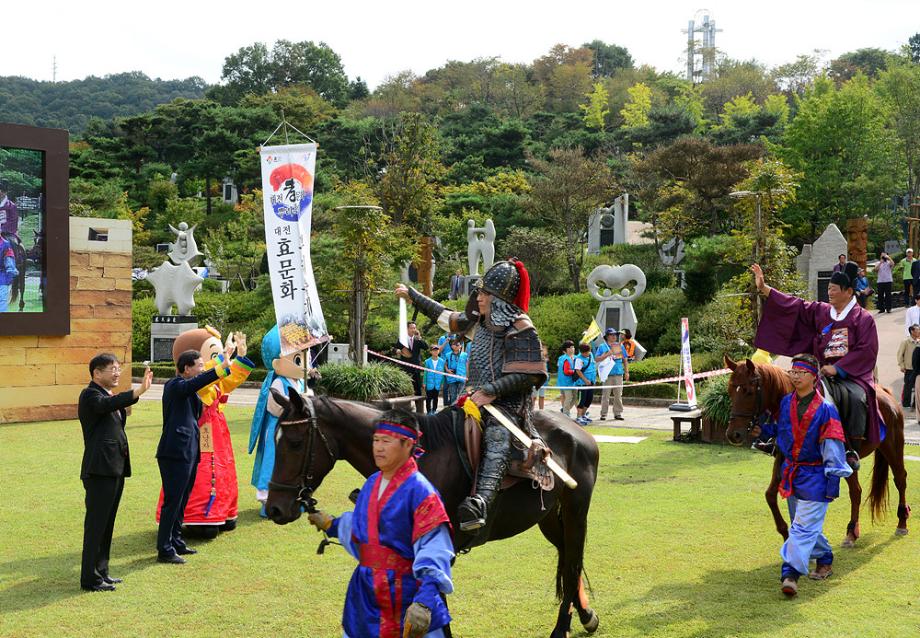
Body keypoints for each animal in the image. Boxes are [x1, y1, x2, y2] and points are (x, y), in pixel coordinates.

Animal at [262, 390, 600, 638]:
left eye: (295, 443)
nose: (275, 508)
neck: (420, 457)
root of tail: (577, 432)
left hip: (575, 511)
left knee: (572, 566)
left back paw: (561, 628)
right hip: (548, 518)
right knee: (568, 559)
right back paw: (585, 616)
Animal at [724, 358, 912, 548]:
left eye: (749, 392)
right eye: (730, 391)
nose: (733, 434)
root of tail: (887, 395)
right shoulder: (785, 457)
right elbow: (770, 494)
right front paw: (786, 533)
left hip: (892, 445)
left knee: (900, 479)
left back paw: (901, 523)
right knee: (856, 491)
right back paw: (851, 533)